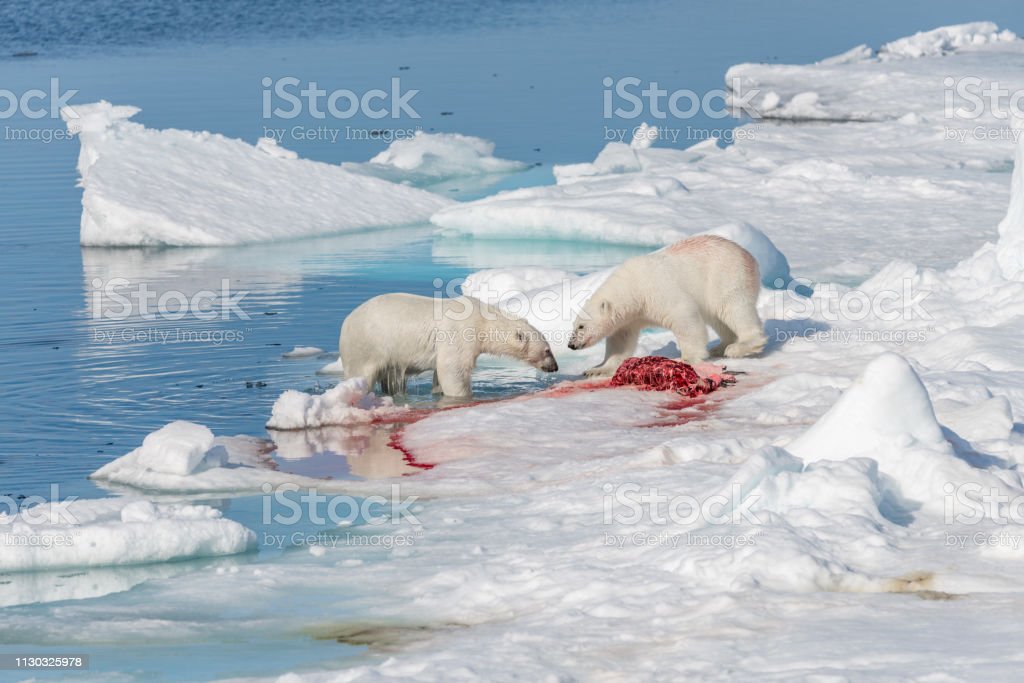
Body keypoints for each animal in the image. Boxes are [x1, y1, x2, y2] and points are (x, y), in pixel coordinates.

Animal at [339, 290, 557, 397]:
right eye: (547, 350)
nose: (554, 367)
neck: (482, 320)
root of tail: (345, 322)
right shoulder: (460, 334)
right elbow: (453, 369)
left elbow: (440, 373)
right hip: (365, 347)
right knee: (361, 374)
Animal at [565, 233, 765, 374]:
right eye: (574, 325)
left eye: (581, 326)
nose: (571, 345)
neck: (633, 287)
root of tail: (750, 258)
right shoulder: (630, 317)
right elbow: (620, 341)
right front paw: (596, 369)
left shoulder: (658, 290)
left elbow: (684, 316)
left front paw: (686, 358)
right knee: (718, 319)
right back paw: (720, 347)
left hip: (726, 277)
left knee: (733, 309)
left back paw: (740, 346)